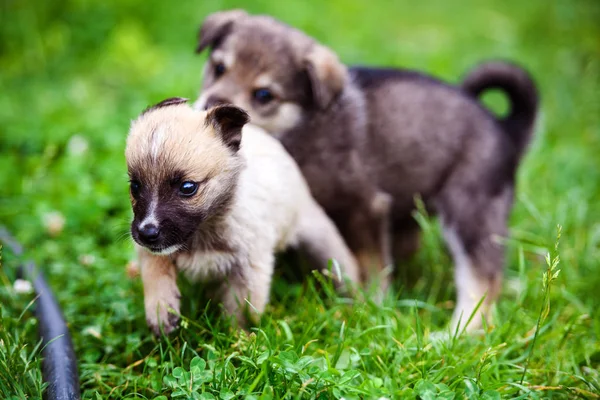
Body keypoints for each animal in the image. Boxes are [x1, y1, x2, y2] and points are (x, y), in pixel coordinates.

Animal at [125, 97, 358, 334]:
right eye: (135, 186)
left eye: (188, 187)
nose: (147, 233)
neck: (204, 230)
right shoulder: (153, 252)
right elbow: (155, 273)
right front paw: (161, 311)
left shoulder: (248, 269)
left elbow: (239, 312)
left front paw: (238, 338)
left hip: (320, 241)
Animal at [196, 10, 540, 332]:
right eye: (219, 68)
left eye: (264, 95)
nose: (210, 107)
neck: (303, 126)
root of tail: (505, 129)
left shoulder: (365, 207)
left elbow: (370, 264)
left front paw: (370, 307)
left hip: (470, 212)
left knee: (483, 280)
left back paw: (459, 332)